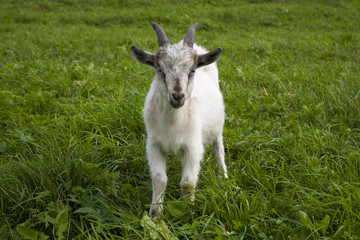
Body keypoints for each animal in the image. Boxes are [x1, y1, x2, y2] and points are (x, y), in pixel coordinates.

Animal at [129, 22, 226, 219]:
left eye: (192, 70)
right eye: (160, 70)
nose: (178, 96)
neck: (173, 122)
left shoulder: (193, 147)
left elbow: (187, 183)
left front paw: (189, 211)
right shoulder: (154, 145)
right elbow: (159, 179)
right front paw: (155, 213)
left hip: (218, 128)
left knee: (219, 150)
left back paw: (224, 180)